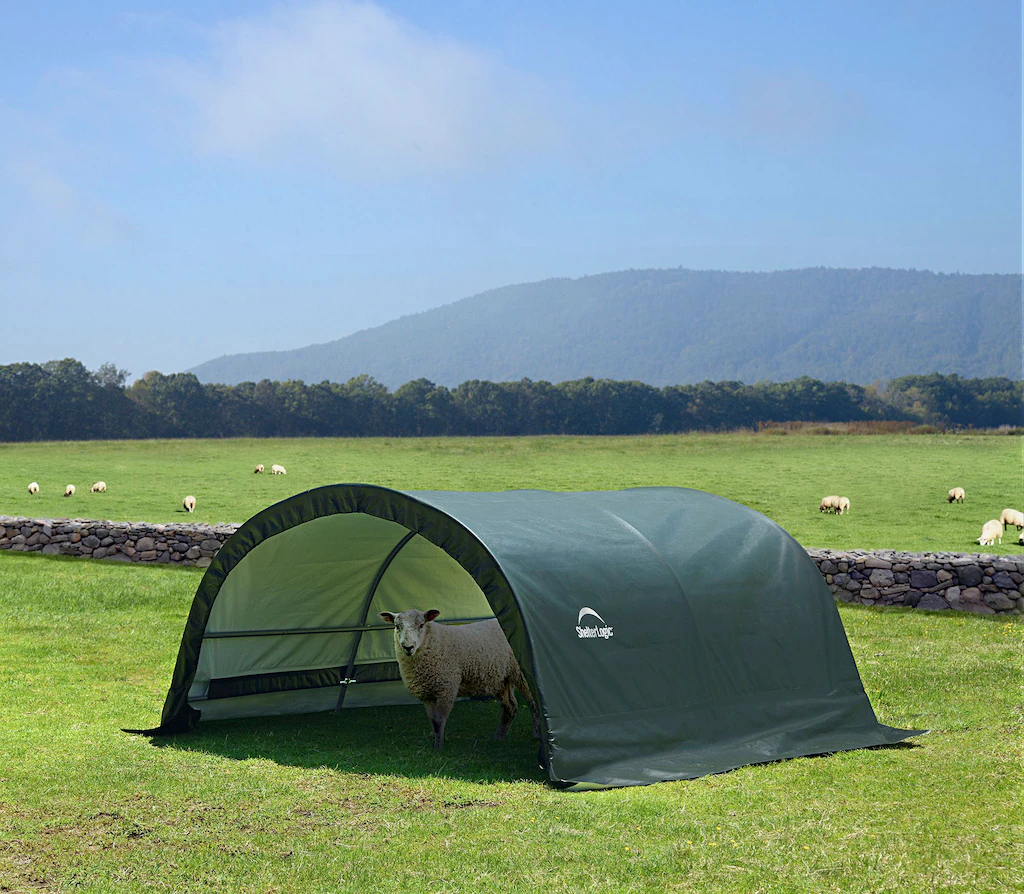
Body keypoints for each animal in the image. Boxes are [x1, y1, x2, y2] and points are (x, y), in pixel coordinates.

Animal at [378, 606, 540, 753]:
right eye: (396, 626)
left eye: (421, 625)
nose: (408, 647)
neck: (433, 642)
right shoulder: (427, 695)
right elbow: (432, 721)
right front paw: (436, 741)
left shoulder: (447, 688)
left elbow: (439, 720)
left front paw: (439, 747)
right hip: (502, 679)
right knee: (510, 706)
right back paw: (499, 737)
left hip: (522, 675)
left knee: (534, 703)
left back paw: (536, 733)